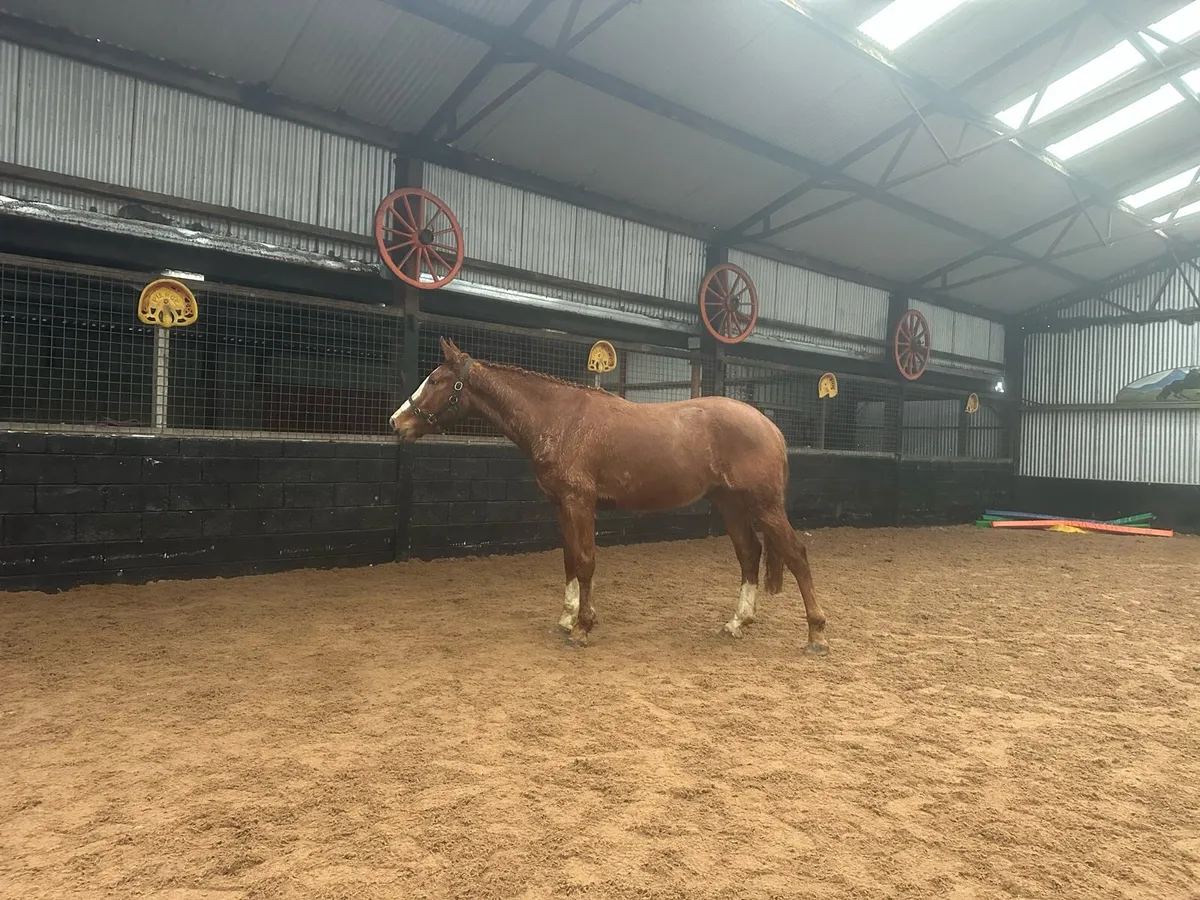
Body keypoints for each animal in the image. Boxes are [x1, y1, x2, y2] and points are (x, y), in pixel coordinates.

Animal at [389, 337, 828, 654]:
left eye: (435, 380)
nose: (396, 422)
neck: (560, 420)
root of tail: (770, 427)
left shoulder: (579, 503)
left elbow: (585, 562)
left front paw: (582, 629)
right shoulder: (562, 506)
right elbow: (569, 559)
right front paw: (566, 619)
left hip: (764, 505)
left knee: (795, 555)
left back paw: (816, 636)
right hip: (730, 504)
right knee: (750, 555)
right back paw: (738, 622)